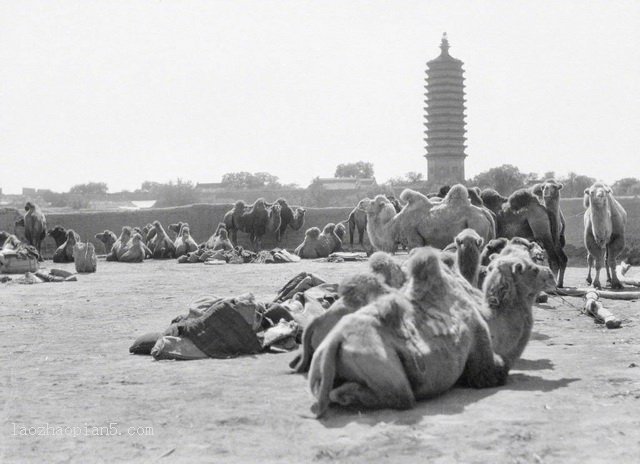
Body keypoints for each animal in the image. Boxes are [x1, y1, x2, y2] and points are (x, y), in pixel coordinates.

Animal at [308, 246, 552, 416]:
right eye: (532, 268)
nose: (549, 272)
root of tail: (335, 340)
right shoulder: (482, 354)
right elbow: (495, 372)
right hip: (376, 360)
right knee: (401, 395)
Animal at [364, 184, 496, 254]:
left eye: (372, 202)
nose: (361, 203)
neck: (395, 225)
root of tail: (485, 213)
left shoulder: (414, 239)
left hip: (477, 226)